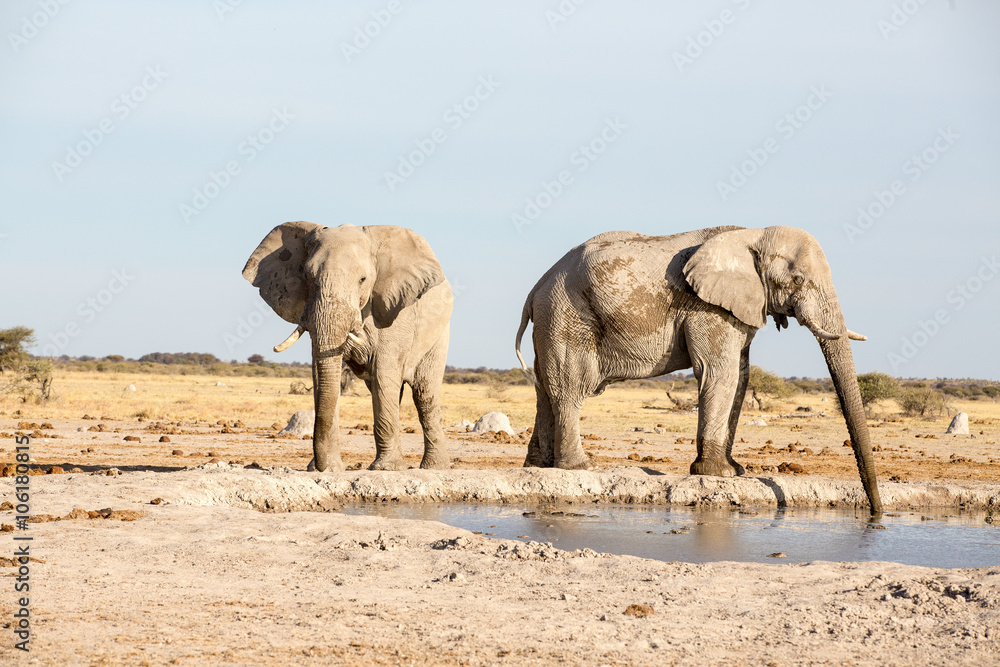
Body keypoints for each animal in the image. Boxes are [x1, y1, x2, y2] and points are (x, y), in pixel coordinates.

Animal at [243, 221, 453, 472]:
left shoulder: (396, 313)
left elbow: (383, 371)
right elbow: (322, 375)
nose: (320, 466)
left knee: (424, 393)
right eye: (308, 277)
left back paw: (434, 467)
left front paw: (386, 469)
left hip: (439, 334)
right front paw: (328, 469)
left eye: (362, 279)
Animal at [515, 225, 882, 515]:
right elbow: (721, 373)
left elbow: (741, 377)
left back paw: (538, 466)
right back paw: (581, 467)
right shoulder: (707, 307)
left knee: (545, 389)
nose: (875, 516)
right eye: (797, 279)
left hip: (552, 319)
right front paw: (717, 473)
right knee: (570, 387)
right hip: (567, 316)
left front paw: (735, 471)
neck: (752, 235)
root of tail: (534, 290)